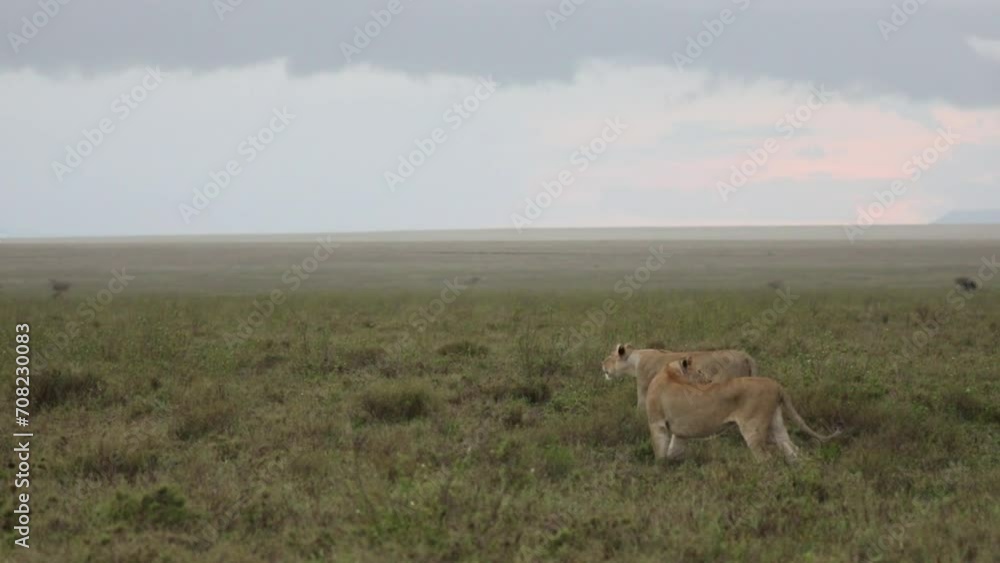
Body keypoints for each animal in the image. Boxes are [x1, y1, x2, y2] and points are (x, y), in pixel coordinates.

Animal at [601, 343, 758, 412]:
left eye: (610, 356)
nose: (601, 364)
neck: (635, 360)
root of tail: (745, 355)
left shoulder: (644, 386)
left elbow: (640, 408)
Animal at [645, 357, 840, 464]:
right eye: (700, 371)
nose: (708, 381)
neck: (669, 372)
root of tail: (774, 384)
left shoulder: (657, 424)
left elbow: (660, 453)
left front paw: (661, 472)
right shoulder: (679, 432)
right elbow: (673, 451)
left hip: (753, 428)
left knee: (766, 458)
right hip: (776, 423)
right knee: (792, 449)